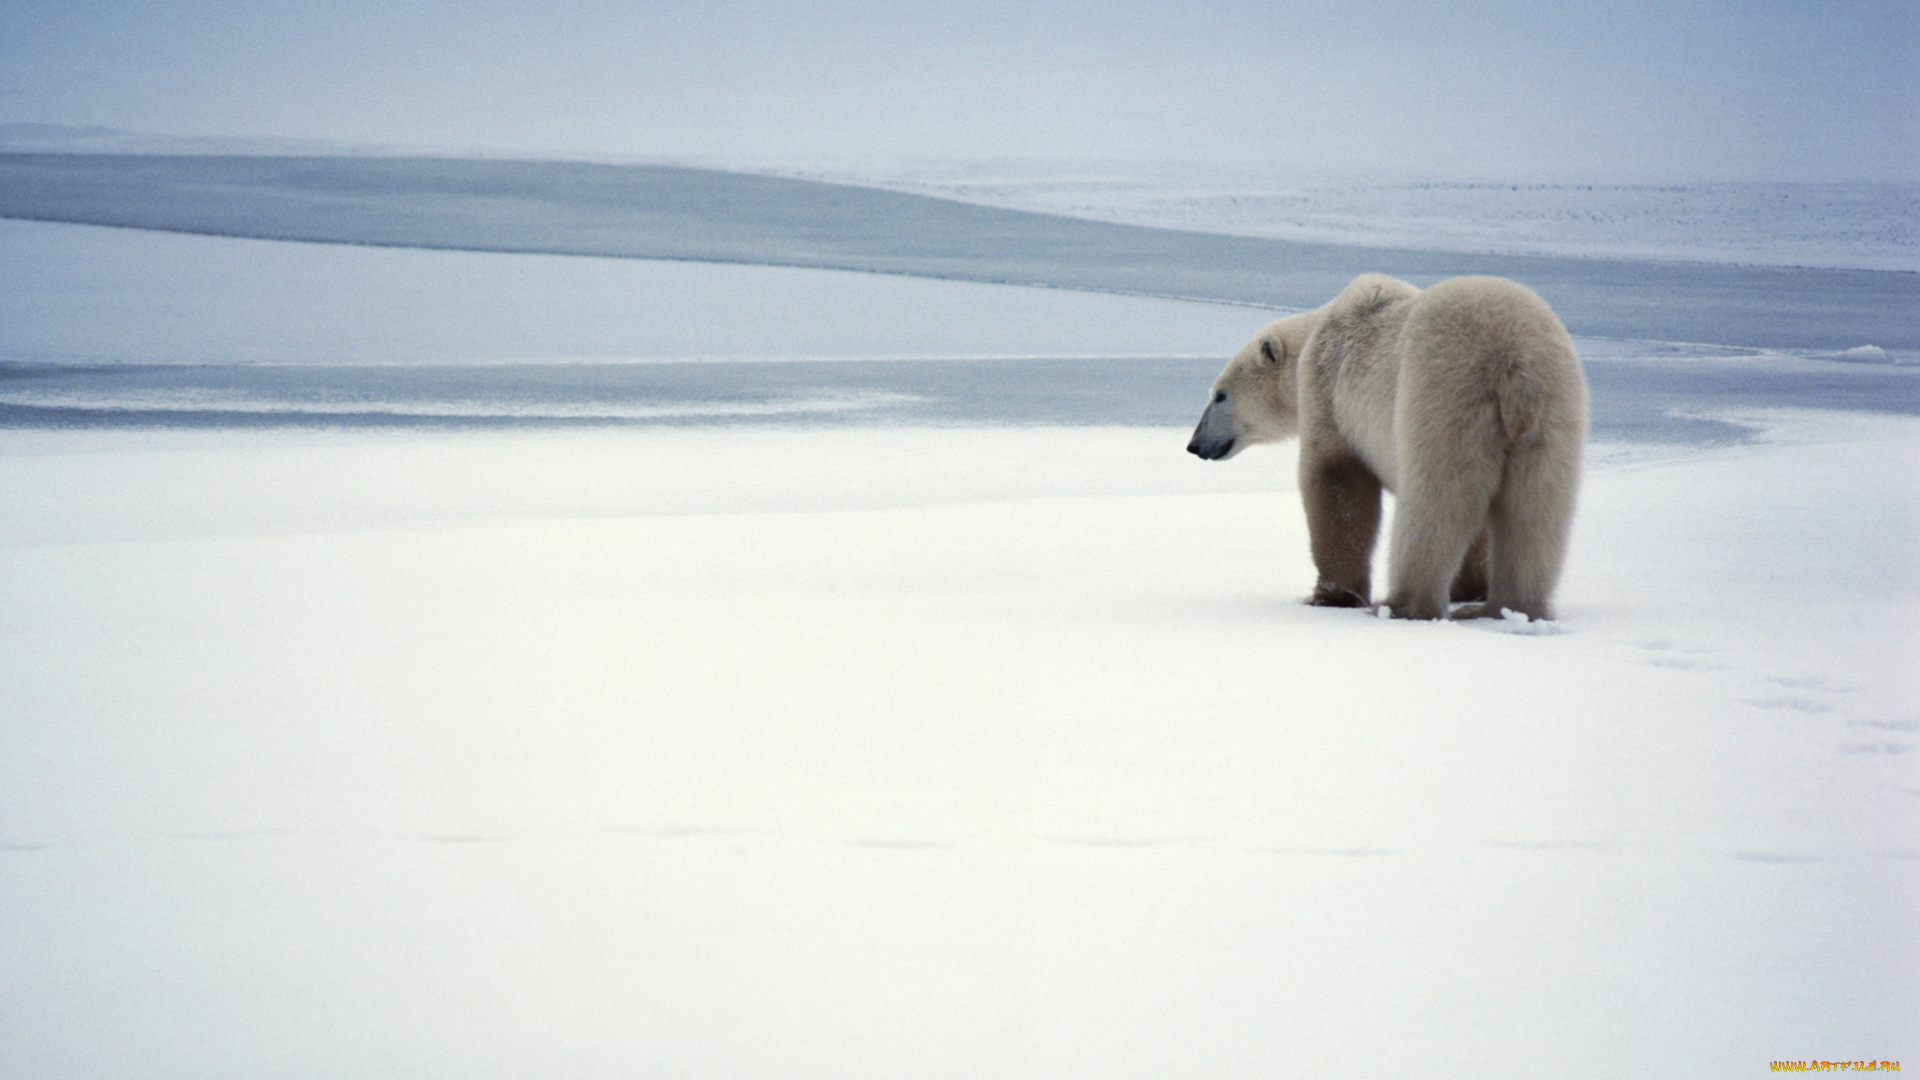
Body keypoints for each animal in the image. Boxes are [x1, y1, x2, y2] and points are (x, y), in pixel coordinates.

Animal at [1182, 272, 1589, 618]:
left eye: (1219, 395)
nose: (1194, 445)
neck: (1317, 331)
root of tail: (1511, 364)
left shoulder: (1330, 390)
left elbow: (1337, 483)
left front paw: (1331, 595)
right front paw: (1470, 587)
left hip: (1442, 395)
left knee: (1435, 501)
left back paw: (1402, 604)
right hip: (1554, 413)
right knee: (1536, 511)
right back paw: (1507, 608)